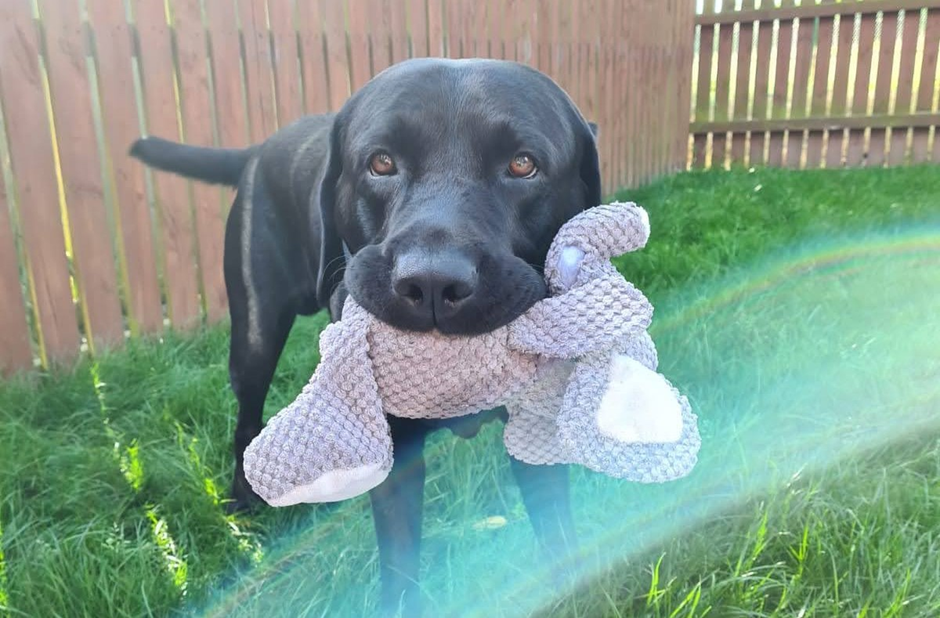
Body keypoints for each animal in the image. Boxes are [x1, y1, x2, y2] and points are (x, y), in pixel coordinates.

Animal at [130, 56, 604, 612]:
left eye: (523, 164)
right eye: (381, 163)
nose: (432, 282)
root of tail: (258, 149)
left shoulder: (537, 426)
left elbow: (556, 532)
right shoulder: (398, 455)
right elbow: (399, 564)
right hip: (255, 336)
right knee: (247, 417)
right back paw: (245, 502)